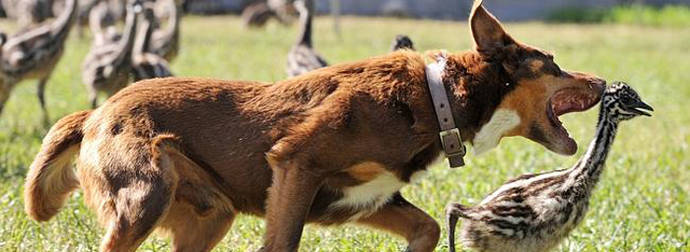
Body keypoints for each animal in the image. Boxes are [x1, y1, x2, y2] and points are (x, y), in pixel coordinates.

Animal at [22, 0, 600, 251]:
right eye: (552, 63)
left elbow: (429, 227)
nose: (603, 81)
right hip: (145, 195)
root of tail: (95, 113)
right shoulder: (296, 165)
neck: (436, 98)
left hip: (209, 217)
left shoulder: (368, 198)